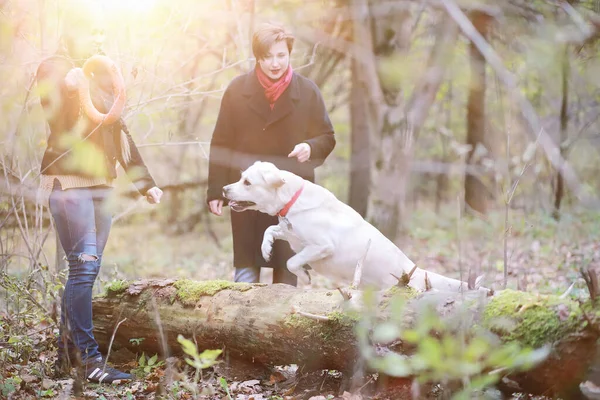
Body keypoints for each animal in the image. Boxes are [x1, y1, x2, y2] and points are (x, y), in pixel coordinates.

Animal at [224, 161, 478, 292]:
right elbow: (270, 231)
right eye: (241, 177)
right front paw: (266, 248)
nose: (225, 189)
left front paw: (304, 275)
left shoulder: (322, 246)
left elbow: (292, 261)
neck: (292, 200)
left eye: (247, 182)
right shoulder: (290, 234)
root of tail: (416, 269)